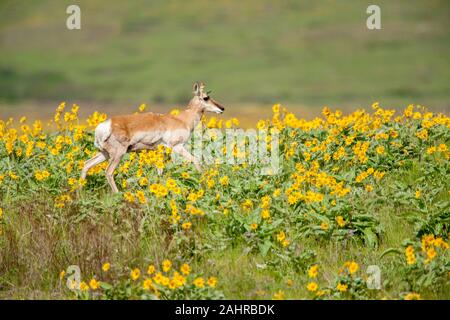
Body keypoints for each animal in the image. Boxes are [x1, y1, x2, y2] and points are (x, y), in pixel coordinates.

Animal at [81, 82, 225, 192]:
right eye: (206, 97)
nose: (222, 108)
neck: (181, 119)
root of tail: (105, 125)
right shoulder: (177, 147)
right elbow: (196, 160)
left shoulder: (162, 152)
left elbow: (160, 172)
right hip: (118, 154)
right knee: (109, 172)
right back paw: (117, 194)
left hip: (104, 153)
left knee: (87, 164)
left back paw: (80, 192)